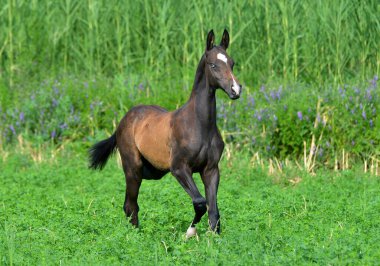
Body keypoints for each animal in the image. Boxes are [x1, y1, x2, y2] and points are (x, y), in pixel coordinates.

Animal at [89, 29, 242, 236]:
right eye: (213, 65)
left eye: (232, 63)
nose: (235, 90)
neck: (199, 125)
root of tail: (123, 121)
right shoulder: (179, 169)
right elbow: (200, 202)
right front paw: (189, 233)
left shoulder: (211, 170)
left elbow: (214, 211)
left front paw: (213, 238)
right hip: (132, 169)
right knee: (130, 205)